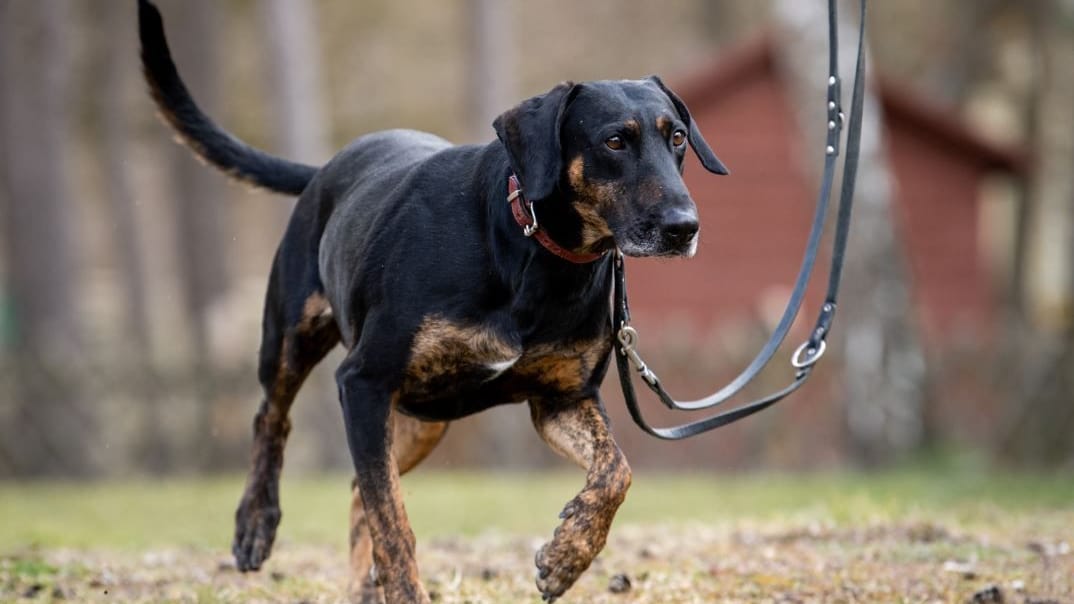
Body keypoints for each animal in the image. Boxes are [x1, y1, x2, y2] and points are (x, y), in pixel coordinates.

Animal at [138, 3, 730, 597]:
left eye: (678, 137)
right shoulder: (363, 382)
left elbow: (616, 469)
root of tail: (326, 168)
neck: (534, 249)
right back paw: (256, 523)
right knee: (272, 419)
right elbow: (393, 520)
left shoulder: (561, 399)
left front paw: (568, 554)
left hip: (419, 419)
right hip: (295, 338)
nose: (685, 228)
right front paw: (406, 591)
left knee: (355, 489)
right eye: (614, 142)